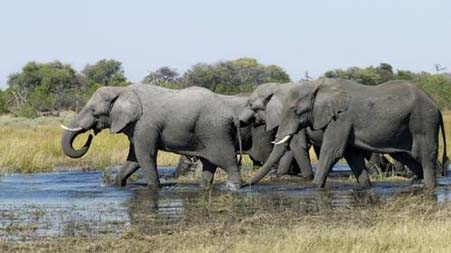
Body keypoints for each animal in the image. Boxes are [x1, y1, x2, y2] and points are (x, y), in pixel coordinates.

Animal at [60, 84, 252, 191]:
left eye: (94, 111)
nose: (89, 135)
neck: (122, 90)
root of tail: (233, 116)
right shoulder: (136, 127)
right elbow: (134, 159)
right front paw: (118, 185)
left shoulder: (145, 124)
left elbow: (145, 155)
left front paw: (154, 188)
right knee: (209, 163)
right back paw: (204, 187)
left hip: (216, 132)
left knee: (227, 160)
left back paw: (233, 187)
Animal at [258, 78, 448, 189]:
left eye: (296, 111)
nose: (247, 185)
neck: (317, 86)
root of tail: (436, 106)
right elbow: (352, 155)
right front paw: (366, 186)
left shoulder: (341, 119)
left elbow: (332, 151)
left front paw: (315, 186)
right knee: (405, 155)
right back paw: (416, 182)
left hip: (424, 121)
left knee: (424, 155)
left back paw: (429, 186)